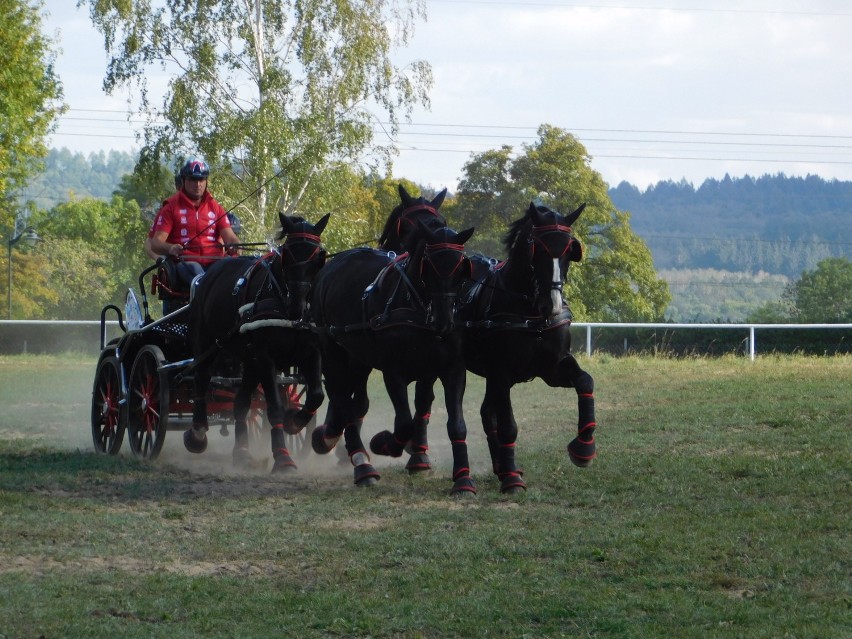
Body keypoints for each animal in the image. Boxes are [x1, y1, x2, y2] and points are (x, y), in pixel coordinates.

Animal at [183, 212, 330, 472]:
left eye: (317, 258)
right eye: (286, 255)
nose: (297, 306)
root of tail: (209, 273)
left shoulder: (311, 353)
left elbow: (315, 395)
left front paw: (294, 422)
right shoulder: (265, 357)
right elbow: (275, 408)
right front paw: (282, 457)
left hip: (249, 361)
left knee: (240, 403)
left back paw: (242, 452)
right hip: (206, 344)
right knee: (201, 380)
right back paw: (197, 435)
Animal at [310, 221, 476, 496]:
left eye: (462, 268)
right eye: (429, 265)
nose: (444, 322)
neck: (417, 309)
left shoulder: (451, 370)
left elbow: (455, 424)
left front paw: (462, 478)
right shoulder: (393, 372)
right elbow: (404, 423)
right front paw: (384, 443)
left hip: (359, 356)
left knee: (353, 400)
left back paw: (331, 436)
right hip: (331, 346)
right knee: (342, 397)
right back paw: (361, 463)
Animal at [460, 202, 600, 492]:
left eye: (570, 249)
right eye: (537, 248)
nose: (552, 305)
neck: (530, 314)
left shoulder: (552, 369)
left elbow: (585, 381)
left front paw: (584, 448)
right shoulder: (501, 372)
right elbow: (509, 425)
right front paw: (512, 479)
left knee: (487, 412)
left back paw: (500, 466)